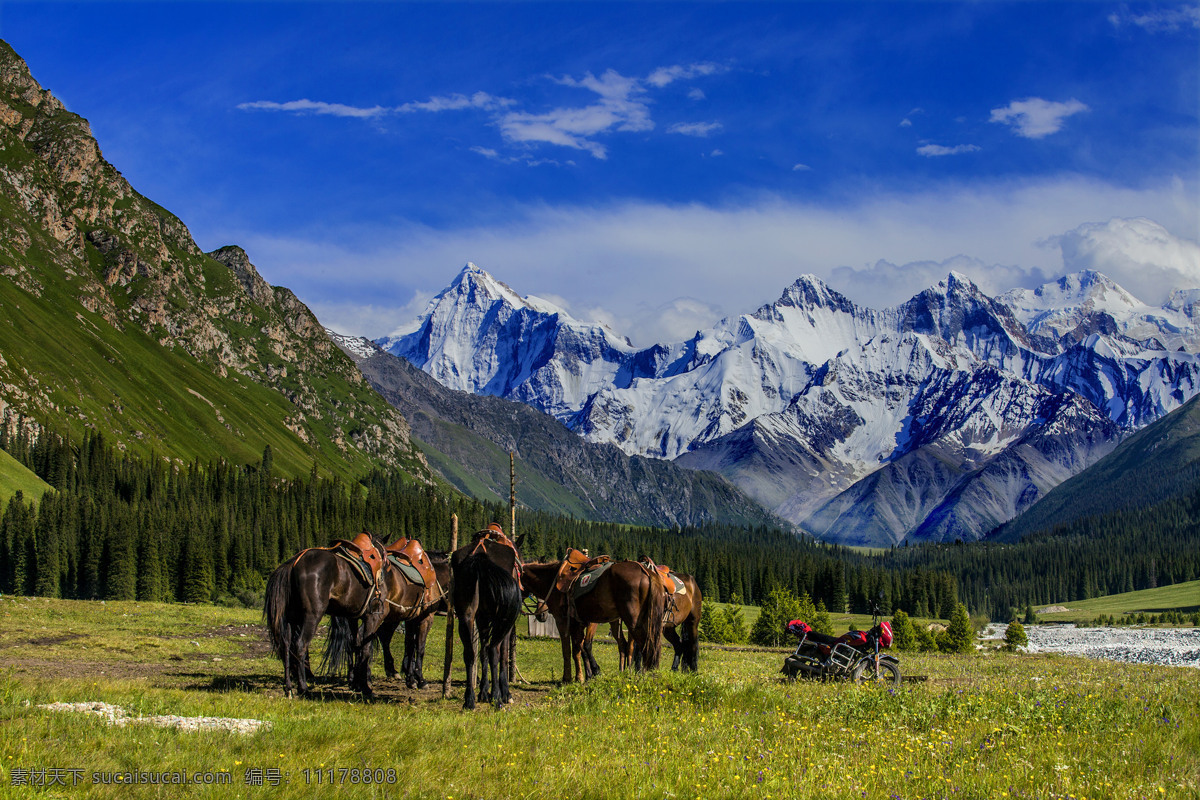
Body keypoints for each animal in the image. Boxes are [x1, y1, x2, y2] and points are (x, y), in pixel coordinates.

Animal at [264, 534, 388, 695]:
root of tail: (293, 563)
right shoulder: (372, 617)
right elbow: (365, 648)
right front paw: (365, 687)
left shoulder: (352, 617)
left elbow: (355, 644)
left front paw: (356, 683)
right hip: (312, 616)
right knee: (300, 645)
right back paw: (303, 688)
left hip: (291, 619)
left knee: (286, 648)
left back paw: (289, 687)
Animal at [448, 527, 523, 710]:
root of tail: (479, 556)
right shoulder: (504, 624)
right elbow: (502, 655)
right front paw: (504, 693)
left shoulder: (482, 619)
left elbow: (482, 652)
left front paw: (483, 691)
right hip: (499, 619)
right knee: (493, 650)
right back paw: (497, 697)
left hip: (466, 615)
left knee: (470, 652)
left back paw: (469, 699)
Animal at [520, 556, 667, 681]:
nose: (540, 614)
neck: (553, 580)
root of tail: (646, 572)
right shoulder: (578, 623)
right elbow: (579, 650)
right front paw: (584, 676)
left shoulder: (564, 621)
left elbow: (571, 649)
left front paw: (571, 677)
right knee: (639, 645)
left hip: (633, 622)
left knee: (645, 647)